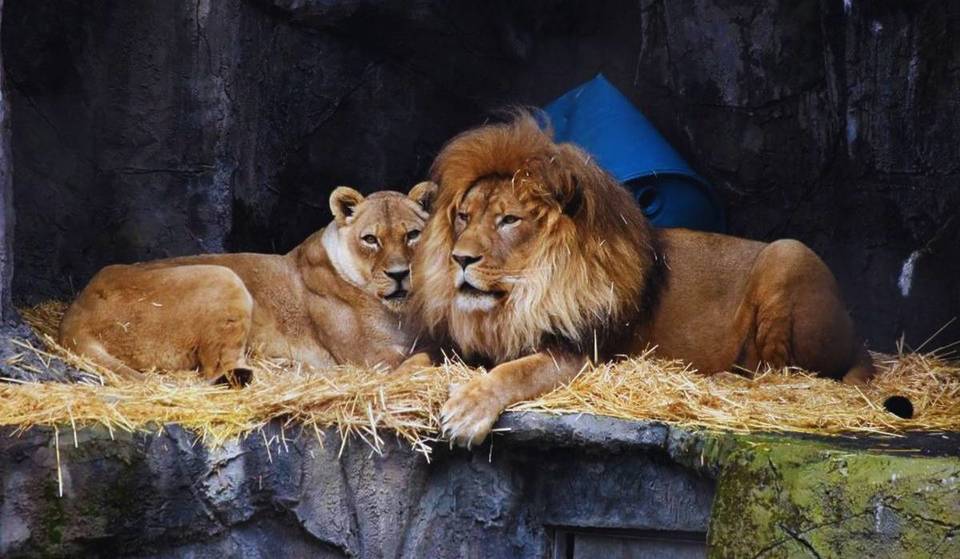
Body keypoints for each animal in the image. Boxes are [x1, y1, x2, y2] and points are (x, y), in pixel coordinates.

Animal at [58, 181, 437, 384]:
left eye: (412, 235)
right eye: (370, 239)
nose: (399, 274)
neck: (399, 311)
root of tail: (74, 315)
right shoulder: (368, 358)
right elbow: (425, 357)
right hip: (222, 275)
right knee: (216, 370)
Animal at [406, 113, 875, 447]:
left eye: (508, 220)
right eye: (463, 216)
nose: (460, 258)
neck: (520, 300)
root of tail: (859, 339)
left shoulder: (584, 353)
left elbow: (515, 372)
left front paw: (467, 411)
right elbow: (415, 360)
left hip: (789, 252)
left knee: (784, 373)